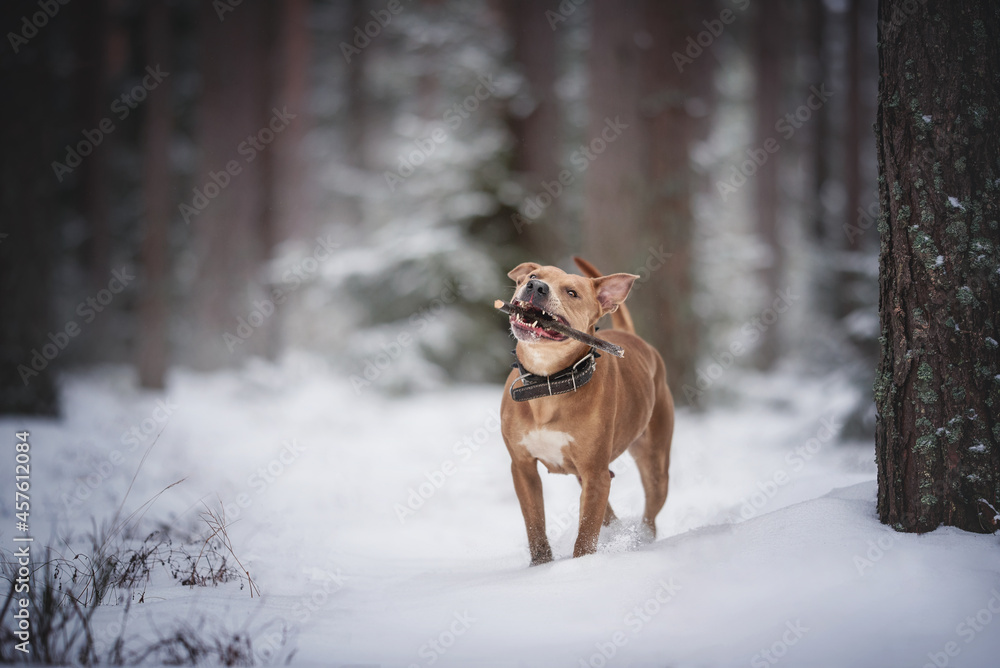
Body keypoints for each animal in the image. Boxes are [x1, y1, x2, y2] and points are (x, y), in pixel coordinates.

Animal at [498, 256, 672, 564]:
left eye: (572, 293)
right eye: (532, 275)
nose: (536, 286)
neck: (549, 384)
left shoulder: (595, 473)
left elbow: (587, 532)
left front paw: (581, 564)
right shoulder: (522, 468)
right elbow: (535, 524)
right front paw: (540, 565)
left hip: (654, 463)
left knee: (650, 513)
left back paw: (640, 539)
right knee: (609, 515)